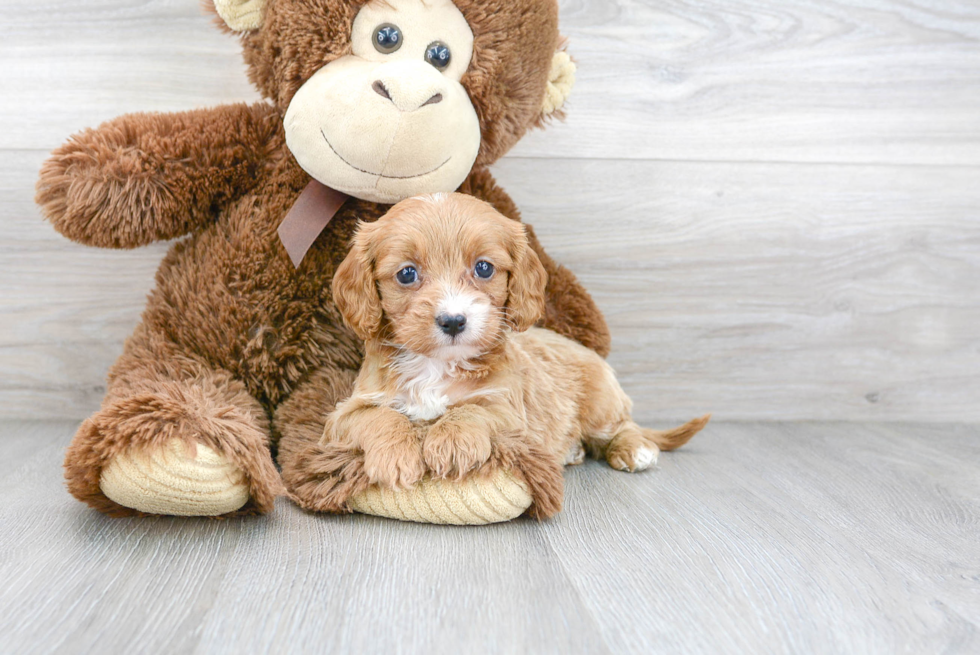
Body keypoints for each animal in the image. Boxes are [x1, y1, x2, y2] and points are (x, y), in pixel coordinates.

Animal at [328, 192, 704, 510]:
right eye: (407, 274)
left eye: (484, 268)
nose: (453, 321)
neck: (437, 366)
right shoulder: (344, 414)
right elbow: (379, 417)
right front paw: (395, 456)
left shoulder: (509, 411)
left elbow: (471, 410)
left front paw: (451, 442)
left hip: (601, 404)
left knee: (623, 426)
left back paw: (634, 449)